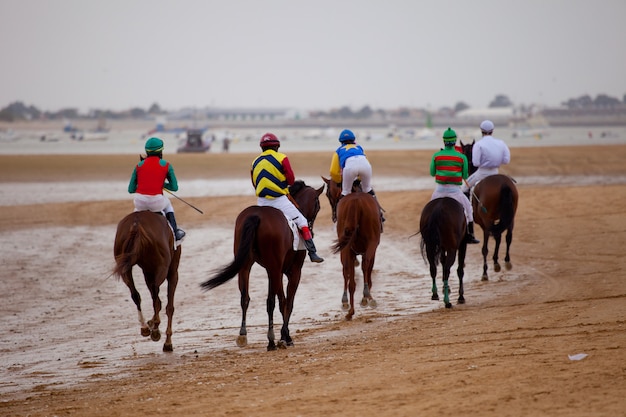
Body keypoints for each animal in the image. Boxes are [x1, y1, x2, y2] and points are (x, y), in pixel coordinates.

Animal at [111, 211, 180, 352]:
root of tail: (136, 224)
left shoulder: (147, 271)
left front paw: (150, 324)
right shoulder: (172, 271)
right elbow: (169, 306)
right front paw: (167, 342)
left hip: (125, 268)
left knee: (136, 295)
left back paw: (145, 328)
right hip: (162, 268)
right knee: (156, 298)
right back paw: (155, 330)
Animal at [200, 180, 324, 350]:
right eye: (318, 205)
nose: (311, 230)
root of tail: (256, 216)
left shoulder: (276, 271)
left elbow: (281, 301)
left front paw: (284, 336)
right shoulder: (293, 271)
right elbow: (288, 302)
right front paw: (286, 337)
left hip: (246, 266)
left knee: (245, 298)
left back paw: (243, 335)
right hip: (274, 268)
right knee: (272, 301)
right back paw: (271, 340)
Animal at [322, 176, 380, 318]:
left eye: (327, 194)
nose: (334, 216)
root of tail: (355, 202)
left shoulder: (351, 250)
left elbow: (350, 273)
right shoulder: (372, 248)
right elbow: (367, 270)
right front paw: (367, 298)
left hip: (347, 247)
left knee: (349, 275)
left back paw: (350, 309)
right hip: (369, 243)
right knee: (364, 265)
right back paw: (365, 298)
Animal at [458, 140, 516, 280]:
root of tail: (503, 183)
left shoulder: (485, 223)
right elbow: (499, 238)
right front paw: (496, 262)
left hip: (487, 222)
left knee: (486, 247)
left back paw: (485, 273)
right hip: (510, 218)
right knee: (508, 237)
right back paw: (506, 261)